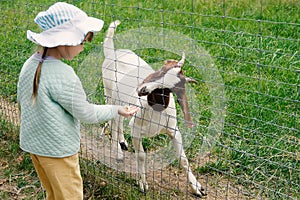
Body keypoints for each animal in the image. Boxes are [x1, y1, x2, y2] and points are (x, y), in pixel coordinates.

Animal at [102, 20, 207, 197]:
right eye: (161, 71)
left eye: (170, 88)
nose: (142, 88)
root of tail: (112, 52)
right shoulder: (136, 129)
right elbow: (141, 156)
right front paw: (142, 183)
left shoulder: (173, 130)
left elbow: (183, 159)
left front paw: (197, 187)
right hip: (109, 93)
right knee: (113, 122)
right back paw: (118, 152)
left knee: (119, 121)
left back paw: (122, 143)